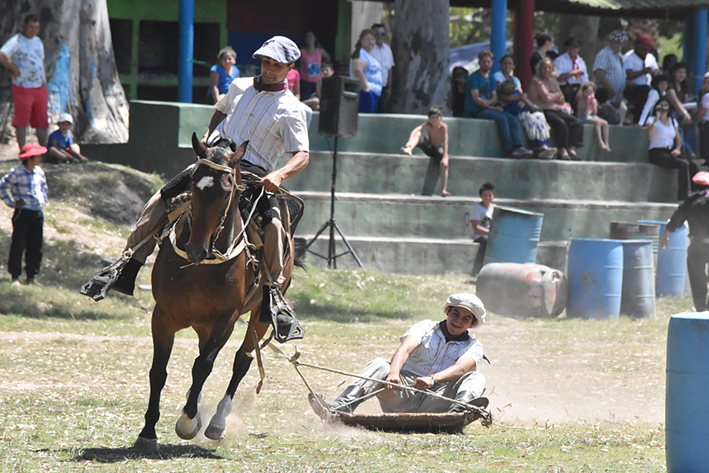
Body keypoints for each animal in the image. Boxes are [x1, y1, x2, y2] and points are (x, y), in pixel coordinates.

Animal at [134, 135, 294, 452]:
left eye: (226, 191)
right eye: (194, 186)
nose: (196, 249)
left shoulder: (226, 319)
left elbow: (204, 366)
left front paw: (187, 422)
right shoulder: (163, 315)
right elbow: (158, 371)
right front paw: (148, 432)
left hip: (259, 316)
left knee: (241, 360)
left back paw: (217, 422)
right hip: (201, 322)